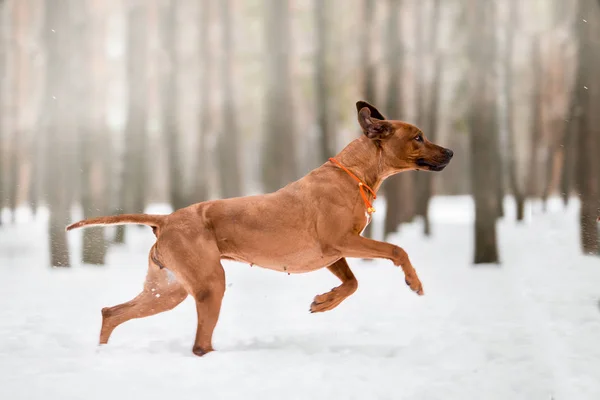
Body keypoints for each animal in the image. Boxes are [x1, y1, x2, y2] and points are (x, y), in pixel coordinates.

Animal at [65, 100, 452, 356]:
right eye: (418, 137)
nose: (450, 152)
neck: (353, 173)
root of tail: (166, 219)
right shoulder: (342, 240)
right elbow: (396, 249)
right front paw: (414, 281)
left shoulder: (333, 252)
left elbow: (352, 282)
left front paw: (324, 302)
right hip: (209, 284)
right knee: (199, 343)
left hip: (168, 289)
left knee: (112, 313)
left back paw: (102, 353)